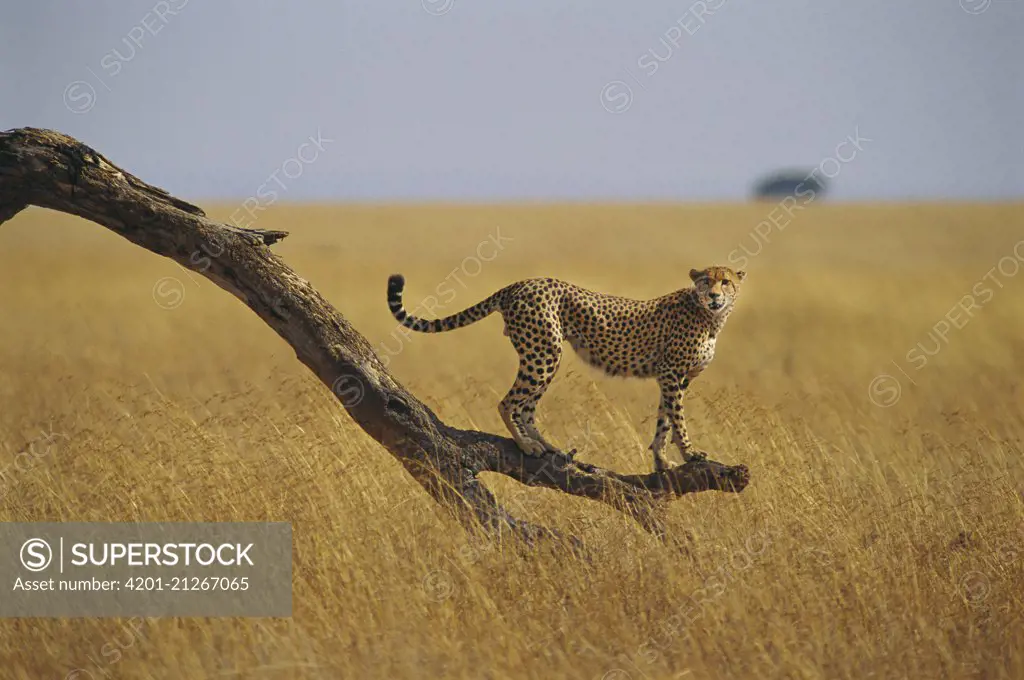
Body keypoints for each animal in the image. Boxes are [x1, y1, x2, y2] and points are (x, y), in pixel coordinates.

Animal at [385, 266, 745, 473]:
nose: (714, 296)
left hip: (543, 355)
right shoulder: (672, 374)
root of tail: (521, 283)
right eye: (705, 281)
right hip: (545, 352)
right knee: (508, 403)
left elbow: (664, 420)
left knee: (526, 407)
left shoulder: (673, 377)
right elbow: (677, 418)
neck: (711, 316)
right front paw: (690, 454)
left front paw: (661, 460)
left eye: (725, 282)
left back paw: (549, 447)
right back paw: (526, 445)